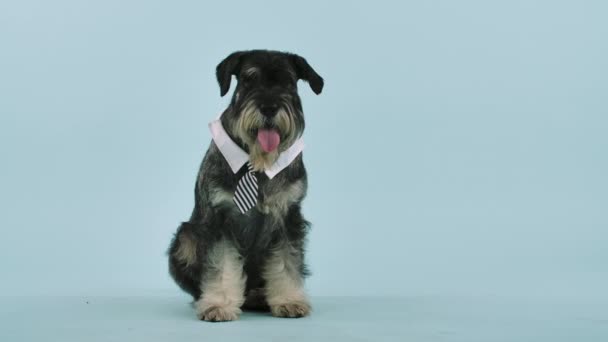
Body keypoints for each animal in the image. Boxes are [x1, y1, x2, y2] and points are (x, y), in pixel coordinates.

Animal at [167, 49, 324, 322]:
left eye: (288, 82)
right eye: (249, 80)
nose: (269, 108)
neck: (257, 162)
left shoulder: (289, 218)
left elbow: (287, 261)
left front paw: (289, 300)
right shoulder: (219, 220)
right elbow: (220, 265)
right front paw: (218, 304)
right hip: (186, 237)